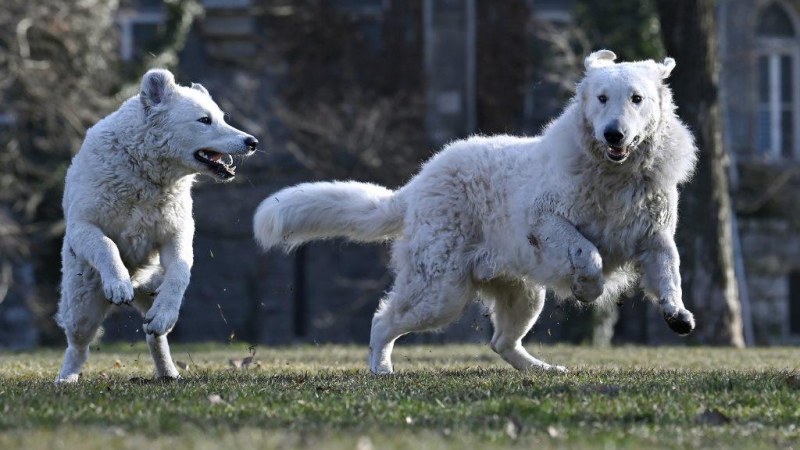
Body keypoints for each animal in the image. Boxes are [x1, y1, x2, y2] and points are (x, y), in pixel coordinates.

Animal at [56, 67, 256, 384]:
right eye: (204, 120)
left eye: (223, 118)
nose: (252, 142)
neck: (145, 172)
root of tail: (140, 281)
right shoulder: (83, 225)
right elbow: (106, 245)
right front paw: (118, 284)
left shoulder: (176, 234)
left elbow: (179, 274)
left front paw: (163, 312)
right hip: (82, 305)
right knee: (78, 344)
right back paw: (67, 378)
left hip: (149, 290)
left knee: (154, 335)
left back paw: (167, 371)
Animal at [253, 50, 696, 372]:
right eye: (602, 98)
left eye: (637, 99)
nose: (613, 134)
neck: (615, 177)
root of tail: (417, 185)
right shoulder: (545, 220)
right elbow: (587, 251)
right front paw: (589, 287)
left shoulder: (655, 239)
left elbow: (671, 273)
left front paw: (678, 314)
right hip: (439, 292)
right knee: (384, 321)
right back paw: (381, 369)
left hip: (521, 293)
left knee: (501, 342)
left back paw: (542, 370)